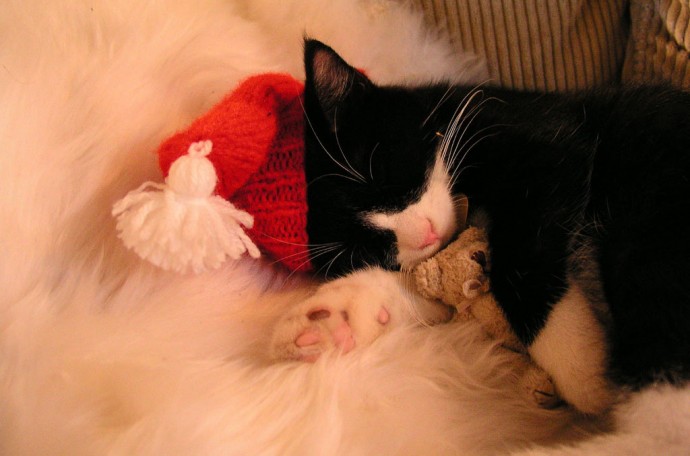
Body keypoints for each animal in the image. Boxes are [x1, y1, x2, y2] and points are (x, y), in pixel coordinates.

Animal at [272, 39, 688, 416]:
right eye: (366, 247)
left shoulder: (540, 138)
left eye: (384, 176)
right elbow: (436, 293)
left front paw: (578, 364)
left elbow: (523, 256)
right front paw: (337, 316)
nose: (424, 232)